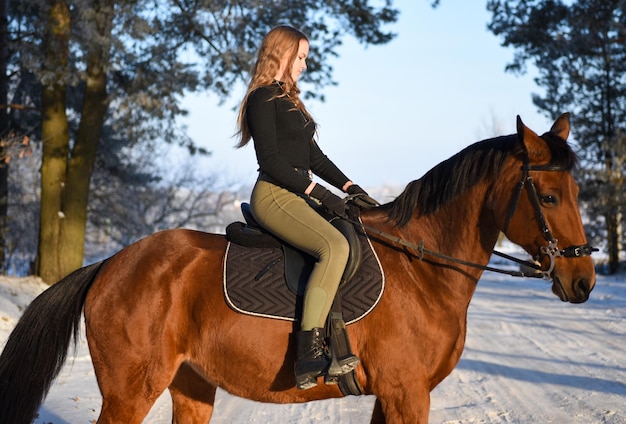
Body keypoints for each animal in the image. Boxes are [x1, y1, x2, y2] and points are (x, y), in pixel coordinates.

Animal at [0, 113, 596, 424]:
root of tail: (110, 264)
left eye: (577, 191)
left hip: (191, 386)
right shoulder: (408, 394)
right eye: (547, 196)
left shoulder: (394, 395)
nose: (582, 281)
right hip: (130, 391)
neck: (421, 269)